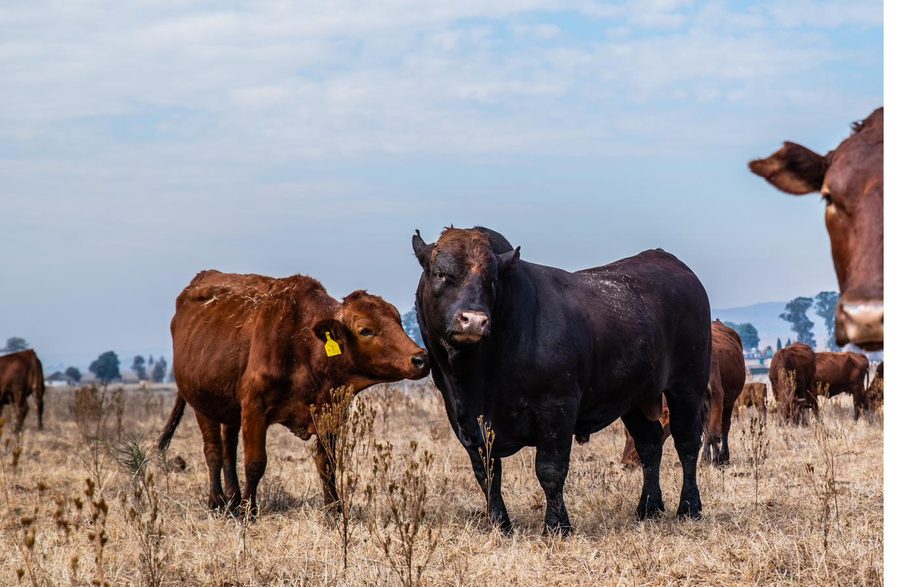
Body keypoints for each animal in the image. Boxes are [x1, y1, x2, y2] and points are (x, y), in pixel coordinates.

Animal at [157, 270, 429, 515]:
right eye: (366, 330)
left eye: (398, 320)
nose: (421, 359)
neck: (304, 346)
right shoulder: (254, 409)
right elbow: (255, 464)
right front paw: (249, 511)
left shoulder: (329, 413)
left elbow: (327, 464)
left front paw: (334, 510)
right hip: (202, 405)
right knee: (213, 452)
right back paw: (218, 502)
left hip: (229, 410)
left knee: (228, 450)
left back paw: (232, 500)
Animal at [413, 227, 711, 534]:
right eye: (440, 273)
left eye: (492, 279)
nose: (473, 320)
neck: (480, 376)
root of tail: (668, 260)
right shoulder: (465, 419)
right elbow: (487, 473)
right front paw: (500, 525)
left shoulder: (557, 407)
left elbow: (550, 470)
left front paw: (557, 526)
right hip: (636, 398)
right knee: (649, 444)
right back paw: (648, 508)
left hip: (688, 386)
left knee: (687, 442)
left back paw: (689, 507)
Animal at [702, 321, 745, 465]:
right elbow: (706, 430)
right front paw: (706, 457)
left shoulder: (717, 397)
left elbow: (713, 431)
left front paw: (714, 458)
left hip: (729, 402)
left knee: (724, 427)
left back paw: (723, 456)